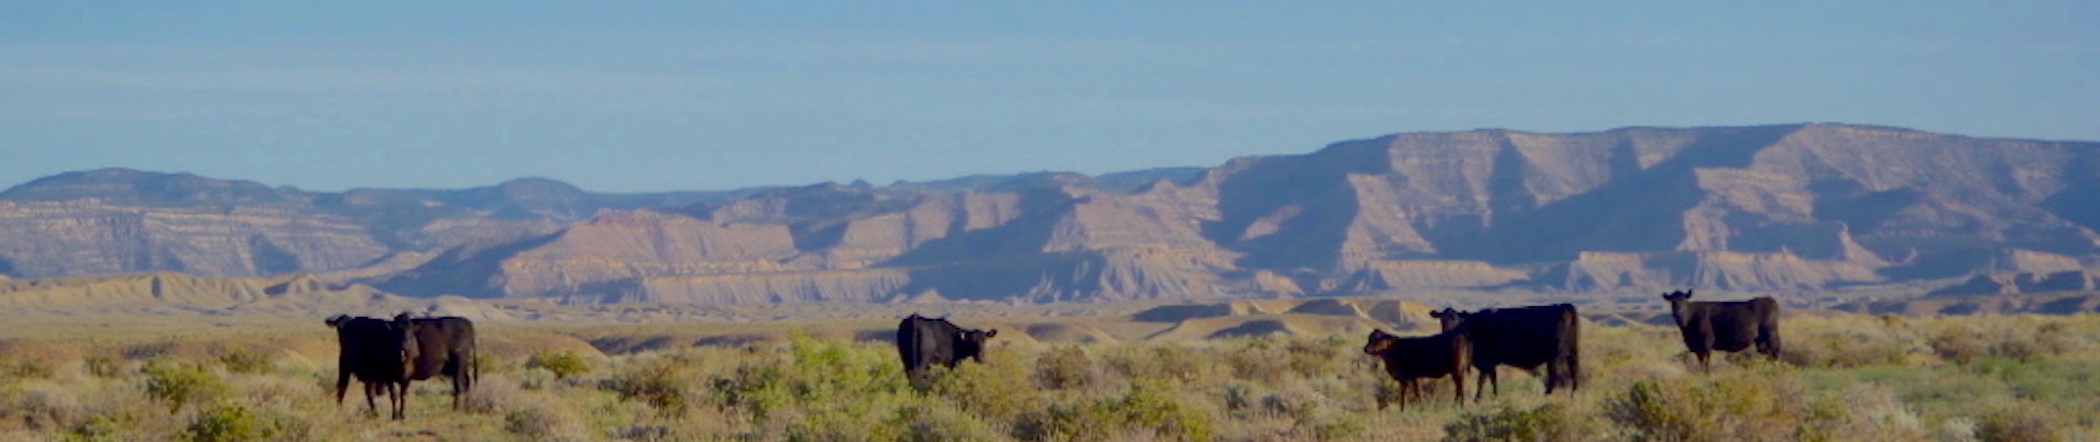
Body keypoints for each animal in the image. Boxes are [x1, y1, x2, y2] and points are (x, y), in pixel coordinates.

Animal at [1436, 303, 1579, 399]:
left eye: (1455, 318)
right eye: (1442, 320)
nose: (1448, 331)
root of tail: (1564, 306)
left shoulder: (1485, 359)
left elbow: (1482, 379)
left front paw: (1478, 399)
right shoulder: (1490, 362)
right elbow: (1492, 378)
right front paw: (1494, 396)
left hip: (1554, 354)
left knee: (1555, 374)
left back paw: (1547, 395)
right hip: (1572, 351)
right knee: (1574, 370)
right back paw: (1573, 395)